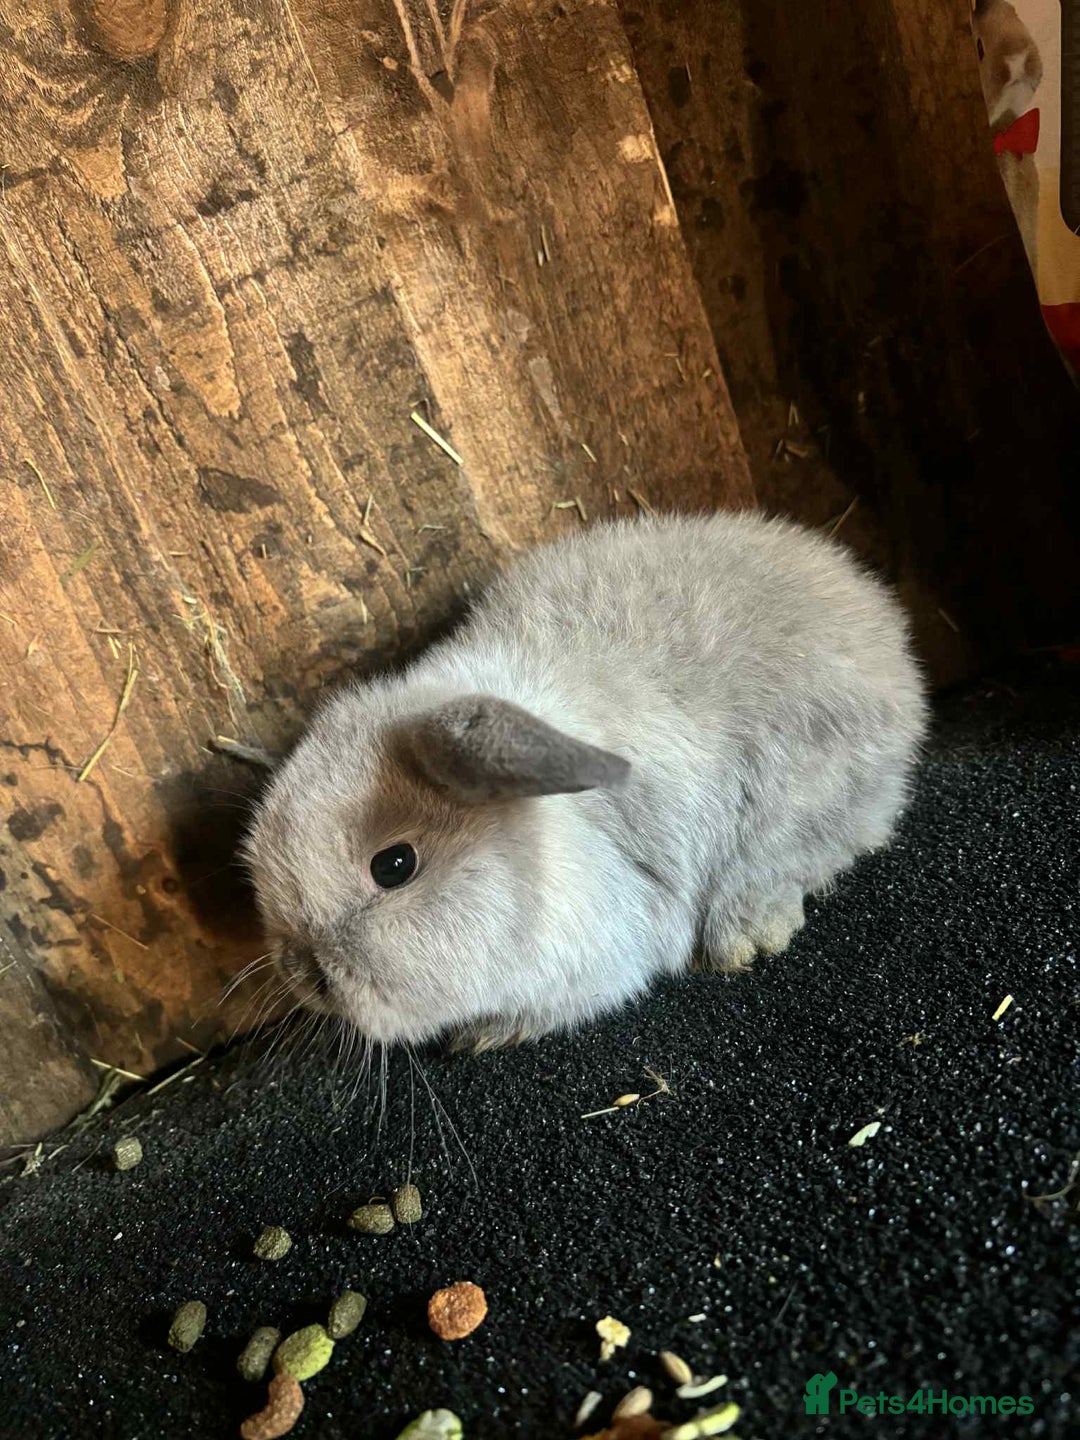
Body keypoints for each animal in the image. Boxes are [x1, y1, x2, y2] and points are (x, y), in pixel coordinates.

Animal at [244, 510, 928, 1052]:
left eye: (394, 865)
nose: (302, 972)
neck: (553, 845)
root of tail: (892, 646)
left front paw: (486, 1035)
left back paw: (744, 937)